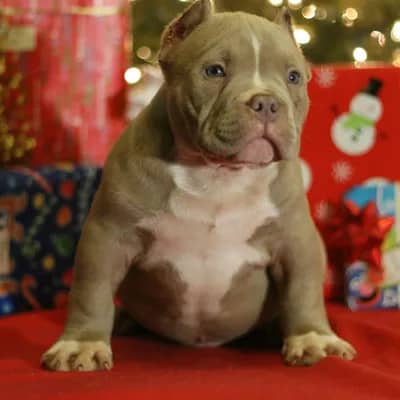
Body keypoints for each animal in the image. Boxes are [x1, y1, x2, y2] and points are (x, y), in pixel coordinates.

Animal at [42, 0, 356, 370]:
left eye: (293, 77)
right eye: (214, 71)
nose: (266, 102)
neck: (218, 173)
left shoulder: (296, 241)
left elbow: (303, 290)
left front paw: (313, 338)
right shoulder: (107, 235)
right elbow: (91, 291)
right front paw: (82, 344)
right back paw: (123, 322)